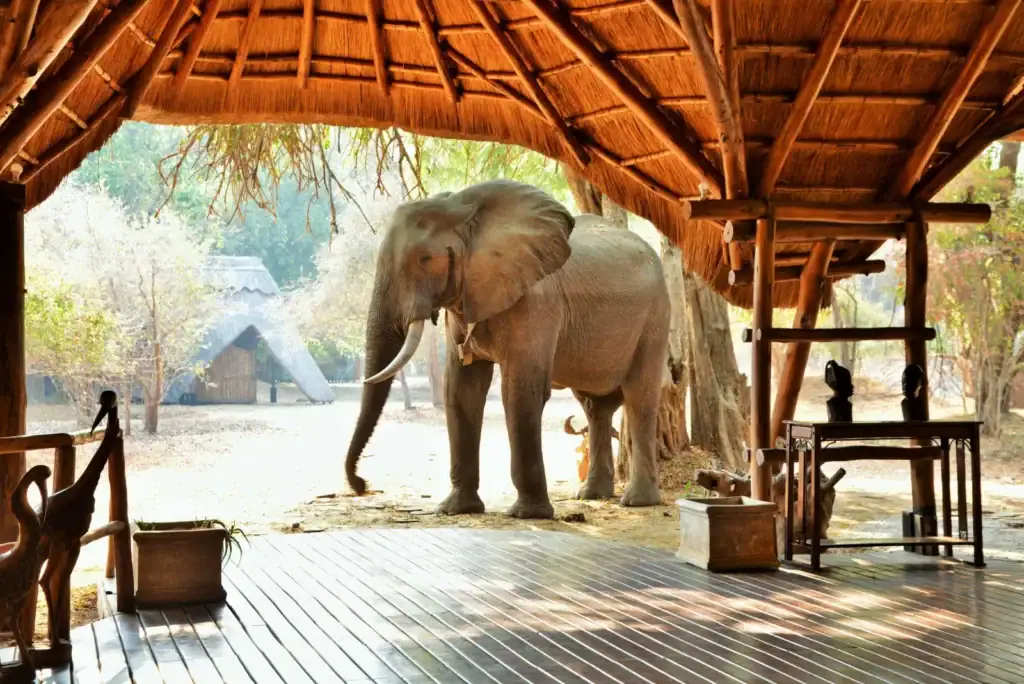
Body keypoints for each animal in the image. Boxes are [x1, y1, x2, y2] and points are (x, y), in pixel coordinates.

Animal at [343, 179, 670, 519]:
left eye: (424, 259)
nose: (362, 485)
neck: (463, 211)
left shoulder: (536, 302)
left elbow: (519, 391)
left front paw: (529, 514)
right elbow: (461, 390)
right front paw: (457, 509)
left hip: (656, 316)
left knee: (639, 397)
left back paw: (637, 501)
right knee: (595, 407)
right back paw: (591, 495)